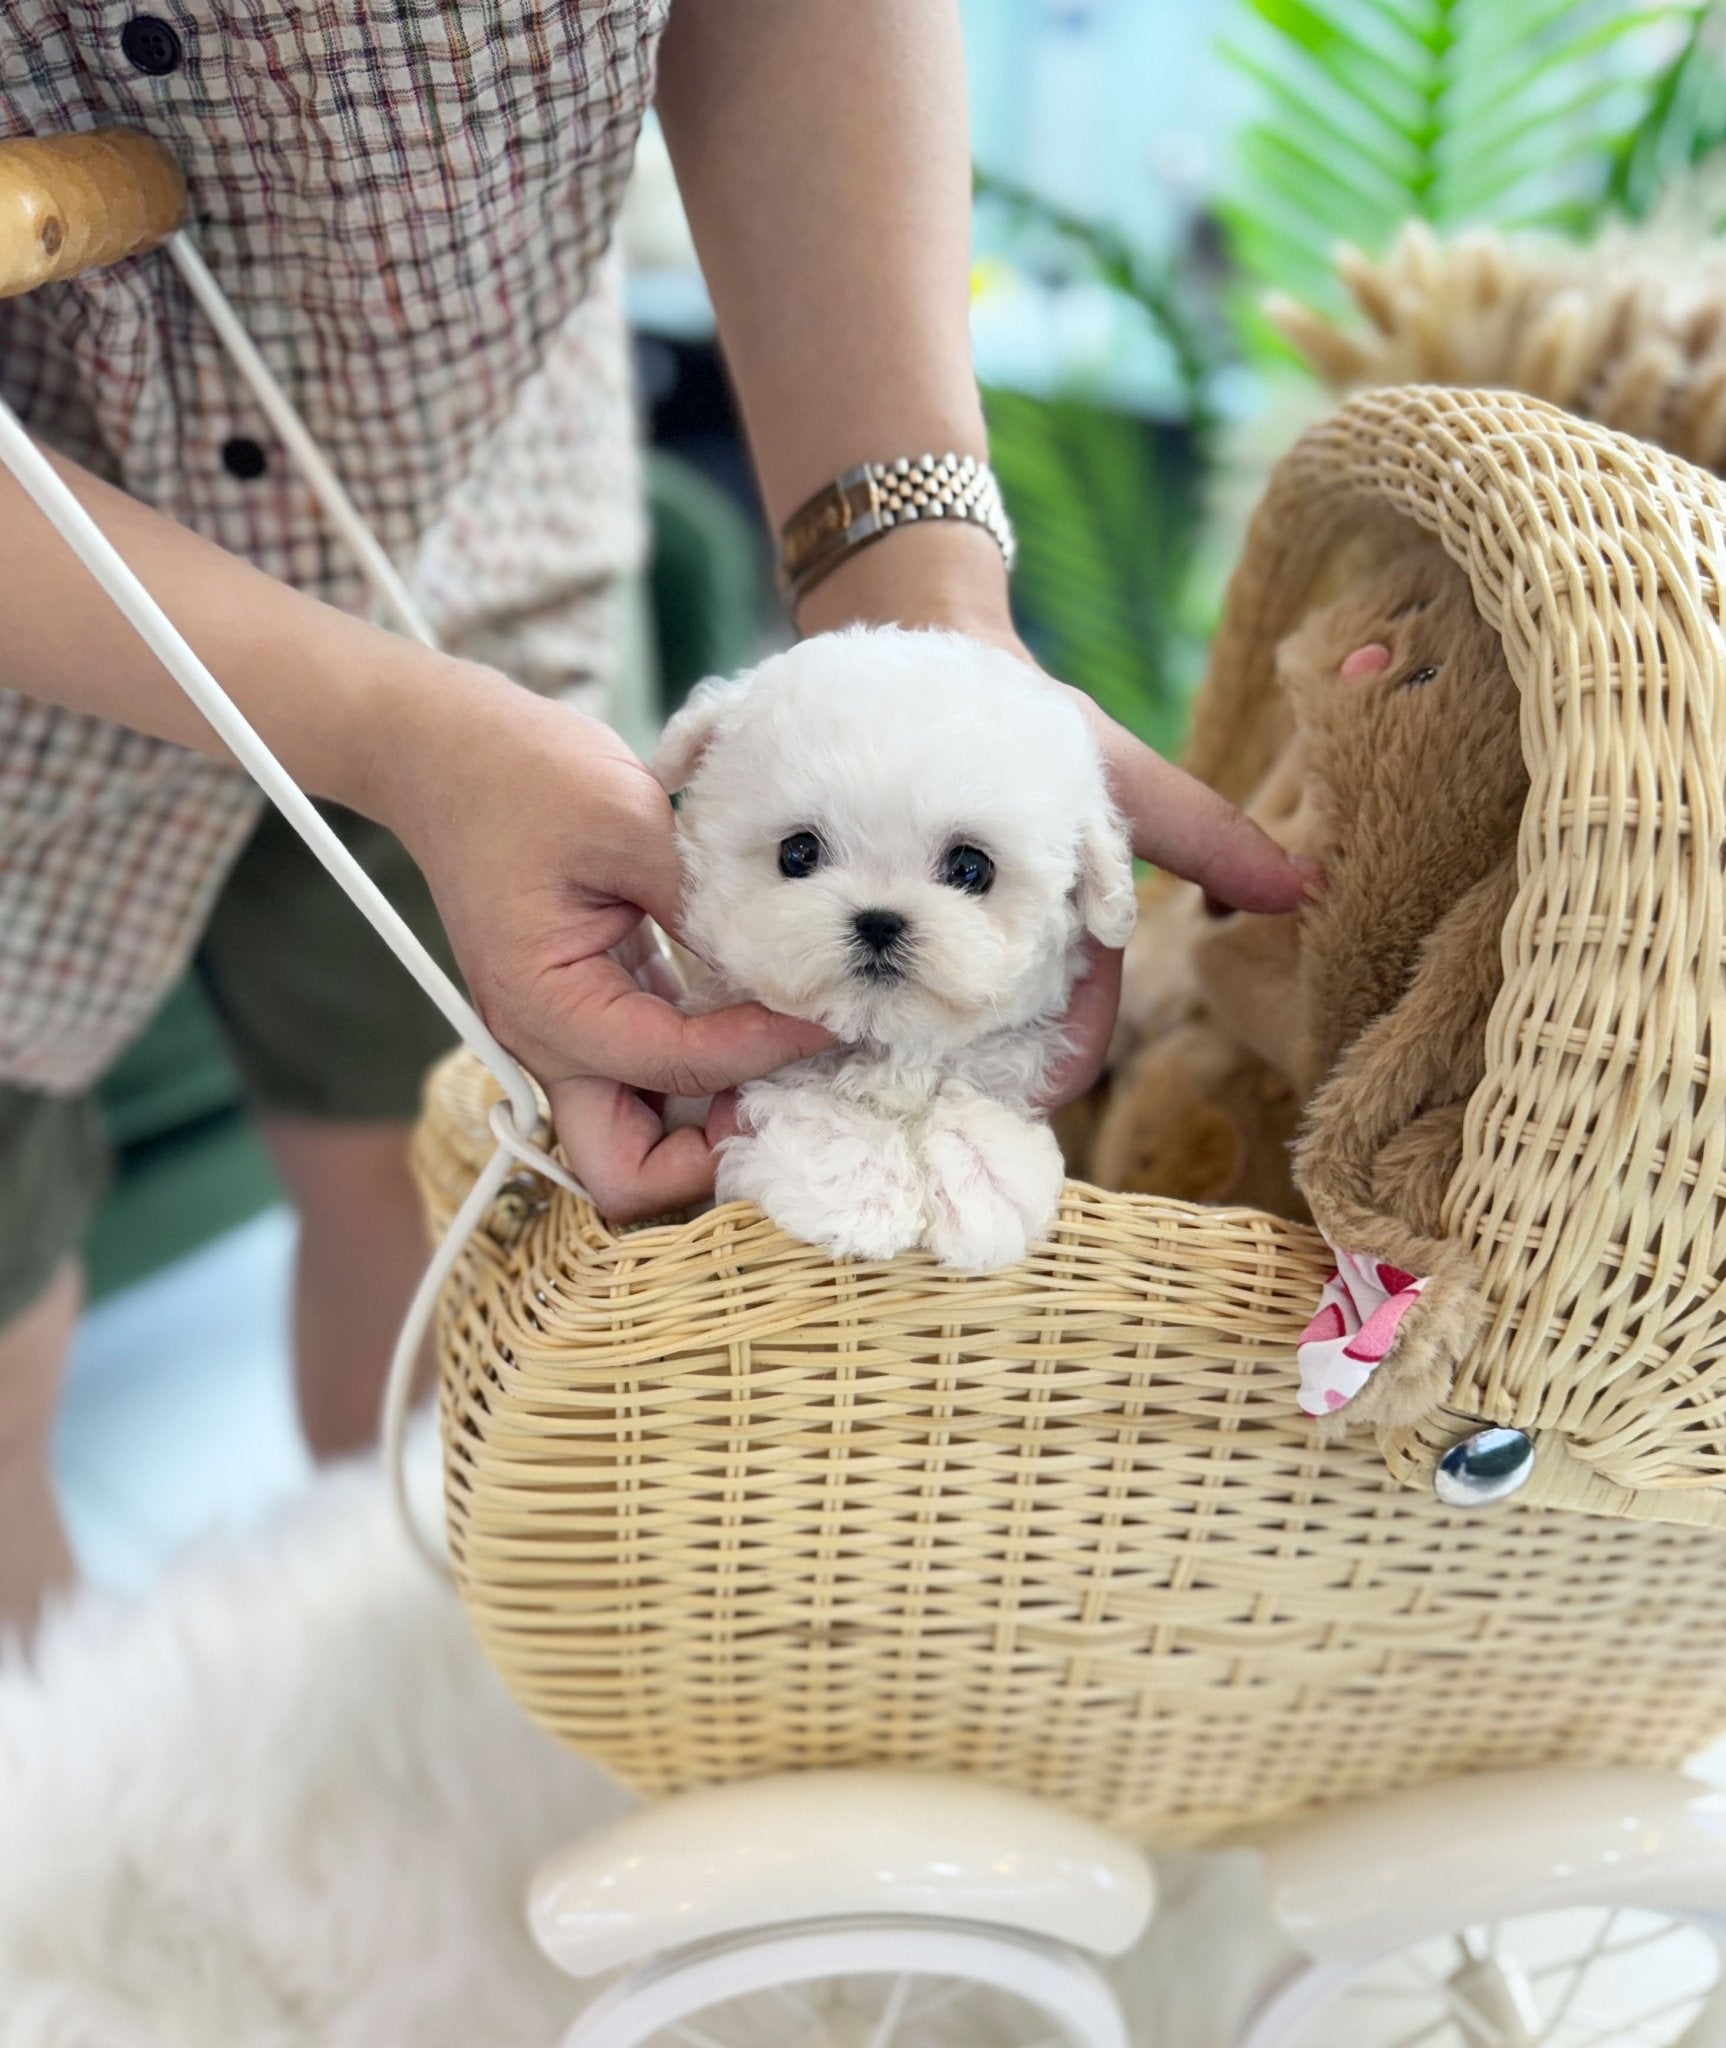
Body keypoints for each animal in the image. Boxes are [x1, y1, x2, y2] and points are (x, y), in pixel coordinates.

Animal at [655, 614, 1138, 1269]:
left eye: (970, 868)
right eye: (798, 853)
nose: (880, 921)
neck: (886, 1049)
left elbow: (973, 1090)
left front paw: (987, 1180)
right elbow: (807, 1106)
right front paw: (860, 1191)